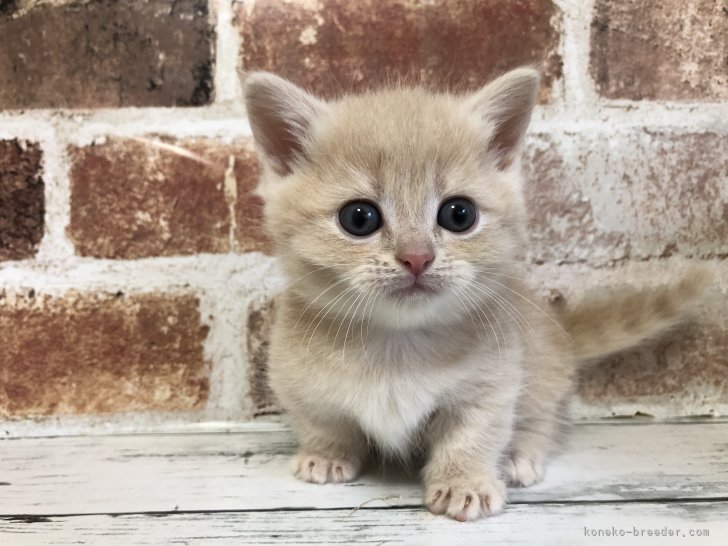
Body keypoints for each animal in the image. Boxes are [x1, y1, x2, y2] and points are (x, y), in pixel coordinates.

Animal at [243, 68, 712, 520]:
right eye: (359, 218)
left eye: (459, 214)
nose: (417, 257)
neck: (397, 345)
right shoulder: (298, 381)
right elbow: (321, 422)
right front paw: (324, 456)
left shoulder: (492, 385)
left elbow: (474, 435)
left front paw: (464, 483)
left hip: (543, 368)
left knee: (542, 417)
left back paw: (520, 456)